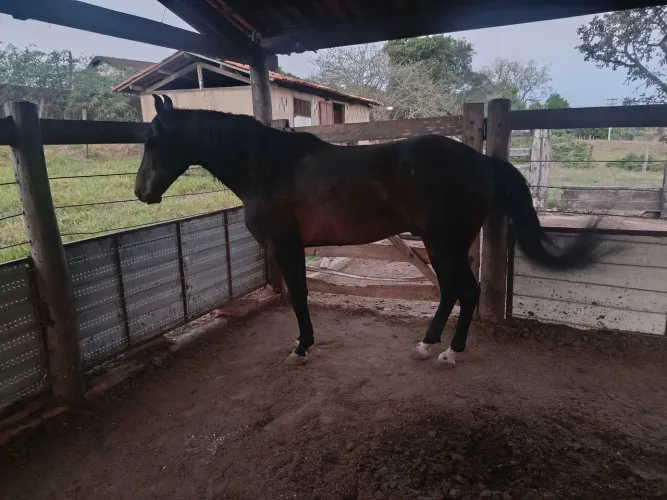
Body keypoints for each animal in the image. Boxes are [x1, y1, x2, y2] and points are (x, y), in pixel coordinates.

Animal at [135, 94, 609, 367]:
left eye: (153, 141)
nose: (141, 192)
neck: (268, 167)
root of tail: (484, 162)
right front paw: (304, 343)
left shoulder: (286, 246)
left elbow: (299, 295)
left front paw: (302, 347)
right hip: (439, 243)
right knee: (451, 291)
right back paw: (427, 344)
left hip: (445, 241)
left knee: (466, 291)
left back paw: (449, 352)